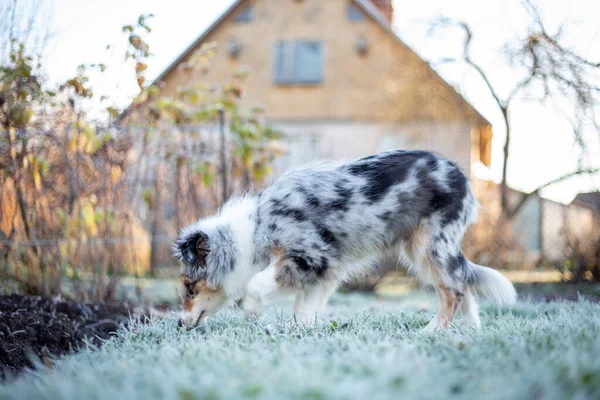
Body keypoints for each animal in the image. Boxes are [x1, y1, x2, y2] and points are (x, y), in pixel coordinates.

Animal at [173, 149, 516, 328]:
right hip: (424, 250)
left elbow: (256, 284)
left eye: (190, 288)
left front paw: (252, 311)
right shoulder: (327, 269)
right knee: (462, 286)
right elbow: (304, 307)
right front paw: (302, 331)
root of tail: (463, 178)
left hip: (431, 245)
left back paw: (432, 331)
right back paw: (467, 332)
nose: (179, 323)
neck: (257, 227)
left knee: (454, 291)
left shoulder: (313, 256)